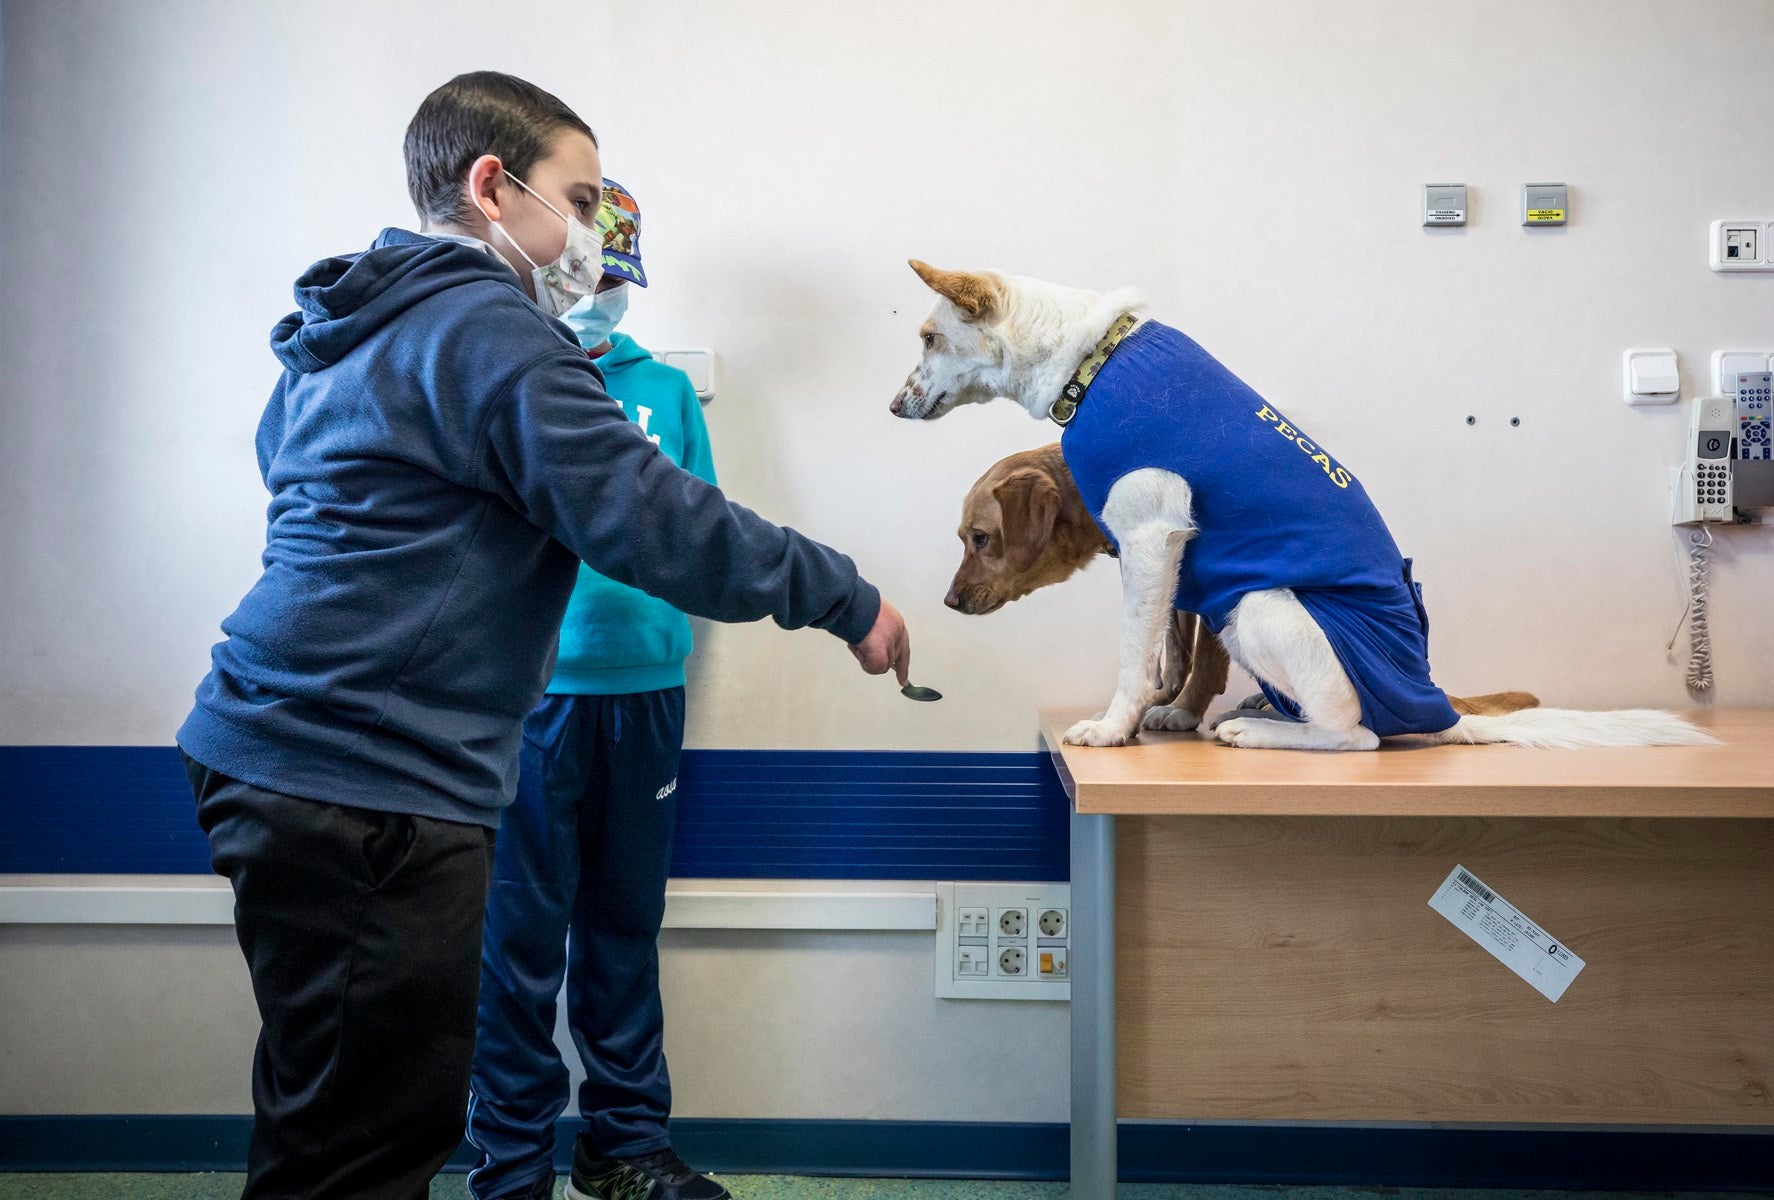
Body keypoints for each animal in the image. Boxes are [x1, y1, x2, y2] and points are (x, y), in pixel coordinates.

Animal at [950, 443, 1546, 731]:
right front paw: (1160, 697)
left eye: (980, 539)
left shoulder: (1218, 574)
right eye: (964, 538)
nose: (949, 601)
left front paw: (1178, 711)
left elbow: (1198, 660)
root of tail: (1427, 686)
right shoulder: (1177, 581)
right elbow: (1173, 650)